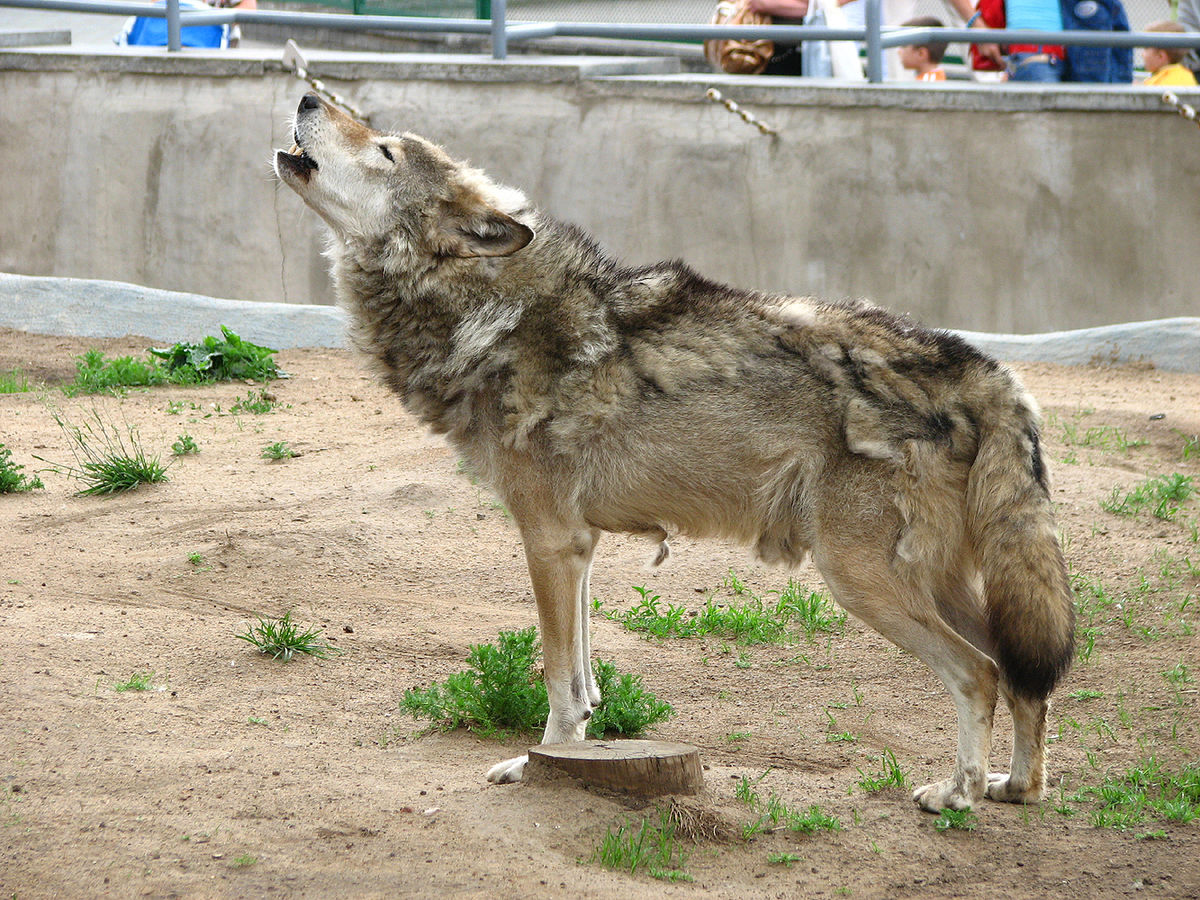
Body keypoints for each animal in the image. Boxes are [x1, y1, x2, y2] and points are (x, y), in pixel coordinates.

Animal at [276, 95, 1075, 816]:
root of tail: (986, 370)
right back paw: (1015, 788)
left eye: (384, 150)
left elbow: (557, 681)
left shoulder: (549, 538)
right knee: (1023, 674)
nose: (308, 94)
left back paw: (958, 793)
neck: (491, 312)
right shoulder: (579, 545)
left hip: (860, 580)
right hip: (941, 584)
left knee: (979, 674)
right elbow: (585, 683)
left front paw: (540, 767)